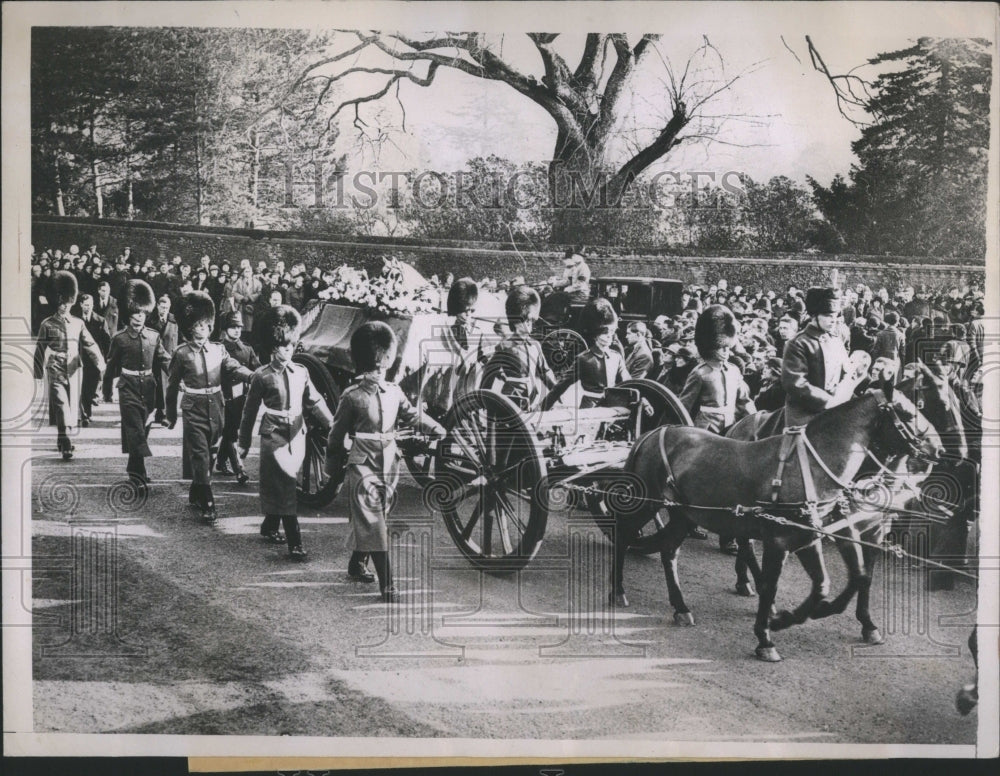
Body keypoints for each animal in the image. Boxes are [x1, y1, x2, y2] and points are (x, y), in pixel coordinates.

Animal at [608, 384, 944, 664]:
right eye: (908, 413)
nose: (939, 450)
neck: (809, 466)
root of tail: (656, 431)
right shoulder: (780, 540)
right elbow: (773, 585)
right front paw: (767, 635)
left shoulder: (811, 536)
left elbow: (831, 583)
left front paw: (794, 617)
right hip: (648, 504)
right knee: (623, 534)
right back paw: (618, 590)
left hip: (683, 515)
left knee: (669, 550)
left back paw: (681, 606)